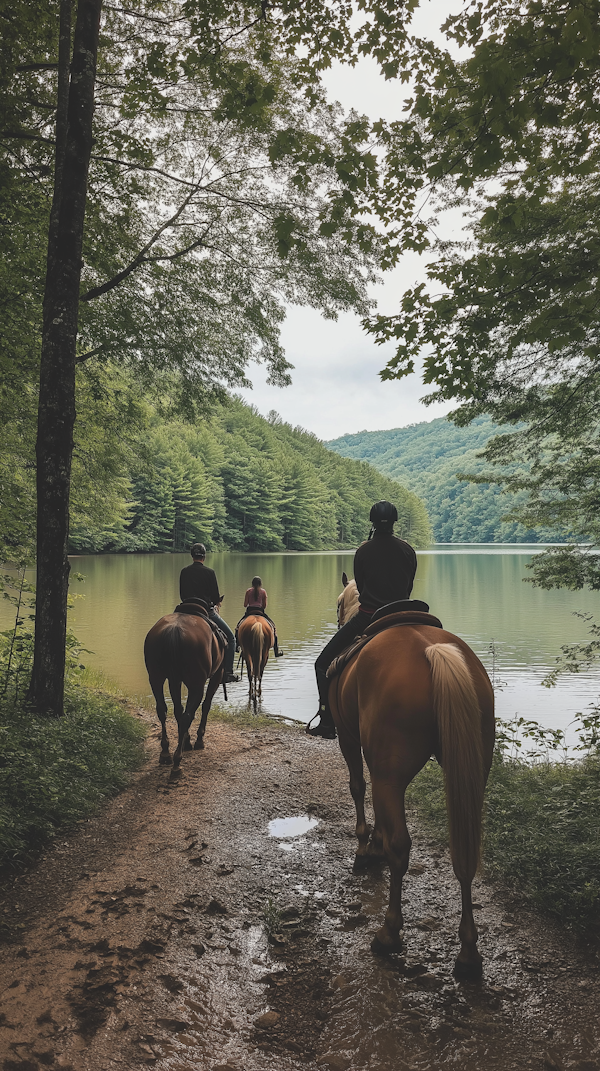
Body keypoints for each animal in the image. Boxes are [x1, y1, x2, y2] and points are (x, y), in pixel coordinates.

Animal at [143, 612, 225, 771]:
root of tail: (174, 631)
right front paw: (198, 740)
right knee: (187, 715)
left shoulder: (176, 680)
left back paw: (165, 753)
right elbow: (206, 706)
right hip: (197, 685)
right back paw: (177, 761)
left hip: (156, 678)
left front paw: (186, 741)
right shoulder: (217, 675)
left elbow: (179, 710)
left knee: (163, 710)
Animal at [330, 578, 494, 981]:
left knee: (401, 847)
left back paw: (389, 933)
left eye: (339, 602)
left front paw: (365, 850)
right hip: (471, 773)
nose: (338, 619)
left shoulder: (348, 738)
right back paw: (468, 954)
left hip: (391, 775)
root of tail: (432, 651)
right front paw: (373, 845)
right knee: (464, 856)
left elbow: (358, 788)